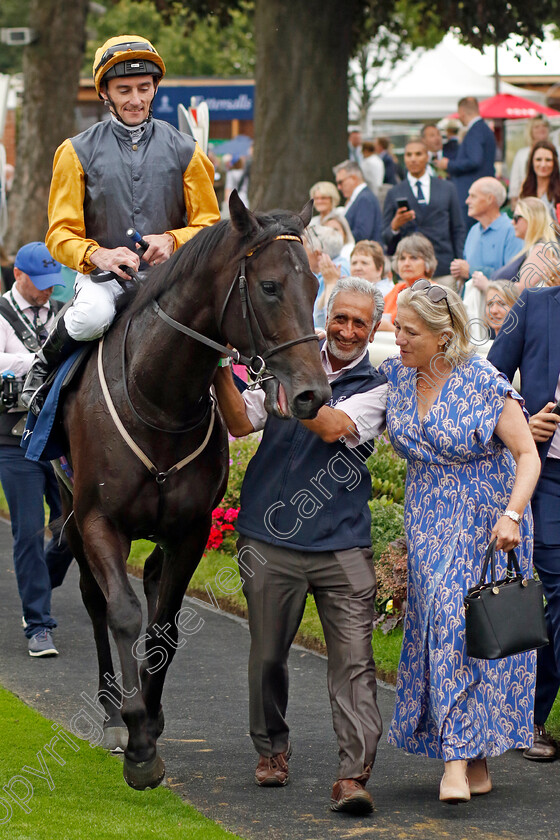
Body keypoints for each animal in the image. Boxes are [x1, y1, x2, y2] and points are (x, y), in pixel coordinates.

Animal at [58, 190, 330, 788]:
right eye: (270, 286)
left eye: (315, 286)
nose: (313, 394)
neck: (156, 401)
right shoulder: (97, 520)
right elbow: (122, 612)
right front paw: (136, 740)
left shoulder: (190, 528)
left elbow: (164, 625)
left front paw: (151, 719)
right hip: (68, 513)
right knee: (93, 598)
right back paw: (112, 713)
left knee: (152, 583)